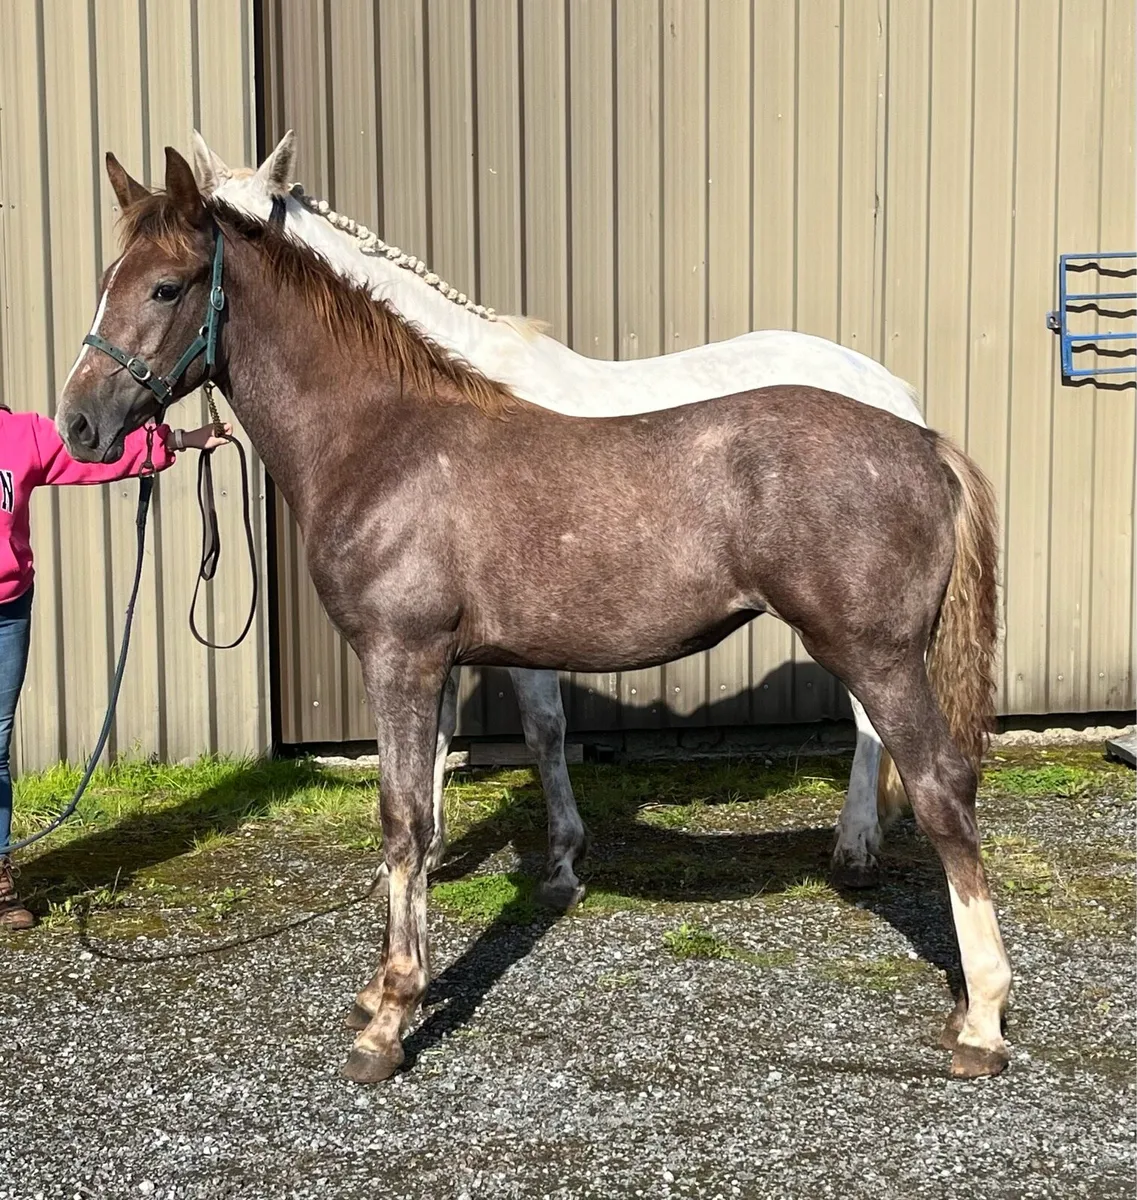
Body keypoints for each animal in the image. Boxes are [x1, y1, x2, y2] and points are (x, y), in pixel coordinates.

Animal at [191, 130, 929, 899]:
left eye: (245, 225)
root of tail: (891, 394)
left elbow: (543, 729)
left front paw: (563, 862)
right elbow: (440, 730)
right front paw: (428, 852)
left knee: (869, 721)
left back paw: (854, 846)